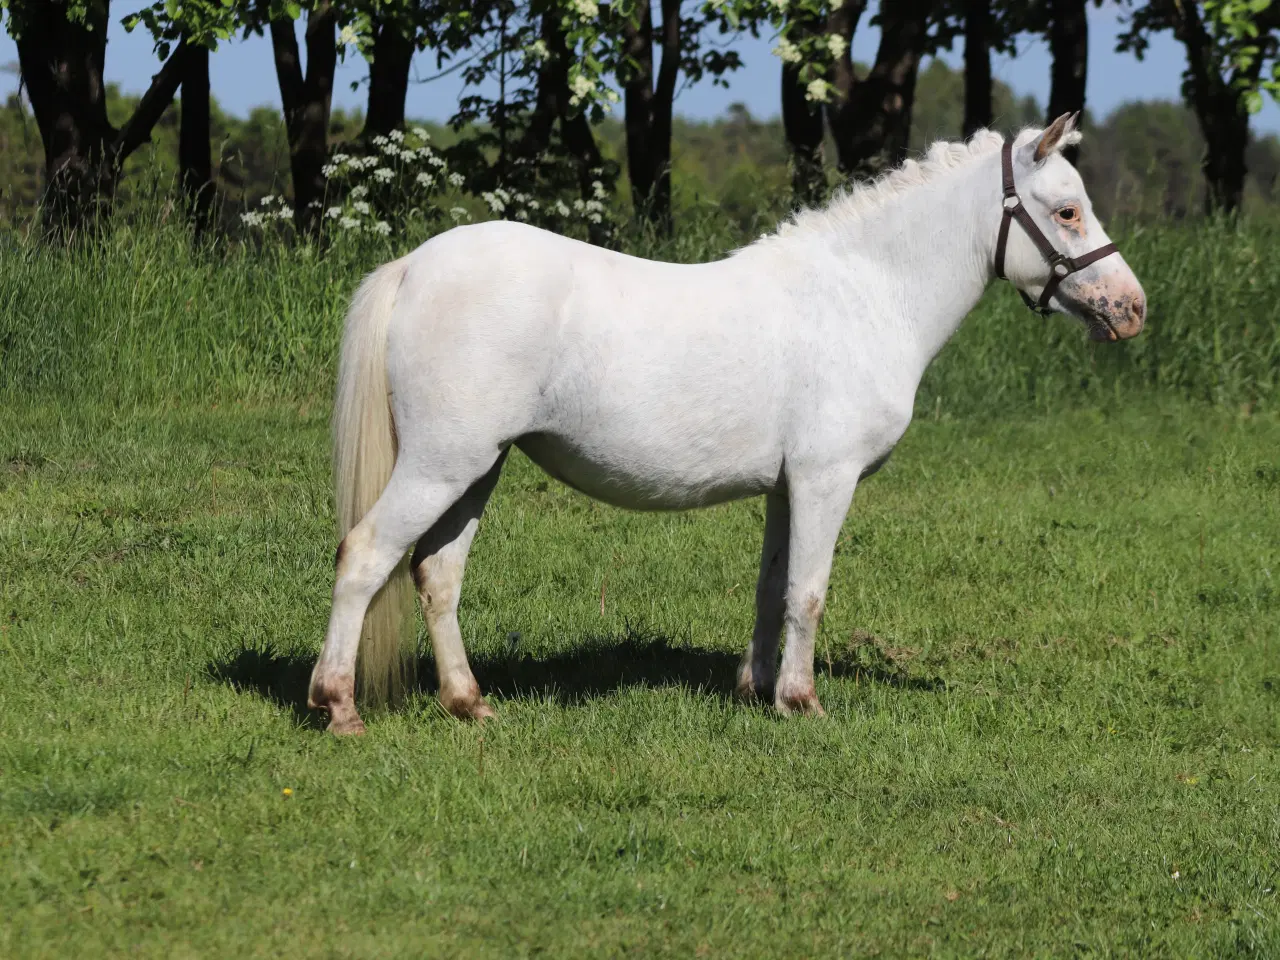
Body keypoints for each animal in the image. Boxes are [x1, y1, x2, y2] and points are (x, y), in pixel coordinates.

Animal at [307, 120, 1141, 737]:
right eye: (1067, 210)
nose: (1130, 309)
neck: (863, 296)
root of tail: (414, 267)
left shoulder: (785, 488)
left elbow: (772, 588)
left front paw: (755, 689)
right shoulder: (825, 480)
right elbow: (809, 590)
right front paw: (802, 703)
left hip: (477, 469)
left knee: (437, 574)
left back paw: (468, 702)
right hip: (441, 464)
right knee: (365, 556)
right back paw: (339, 706)